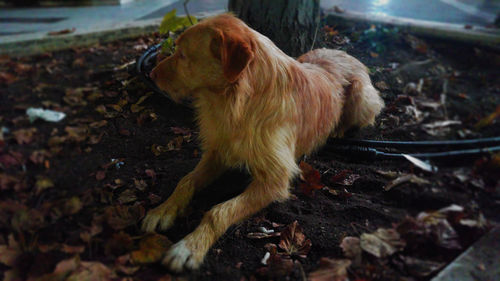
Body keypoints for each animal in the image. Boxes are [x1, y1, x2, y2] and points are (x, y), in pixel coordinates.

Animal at [143, 13, 384, 272]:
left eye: (183, 55)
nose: (151, 75)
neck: (238, 102)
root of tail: (344, 52)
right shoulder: (218, 152)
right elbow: (186, 181)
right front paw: (163, 210)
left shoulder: (275, 179)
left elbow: (219, 211)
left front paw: (190, 246)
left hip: (362, 97)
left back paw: (339, 129)